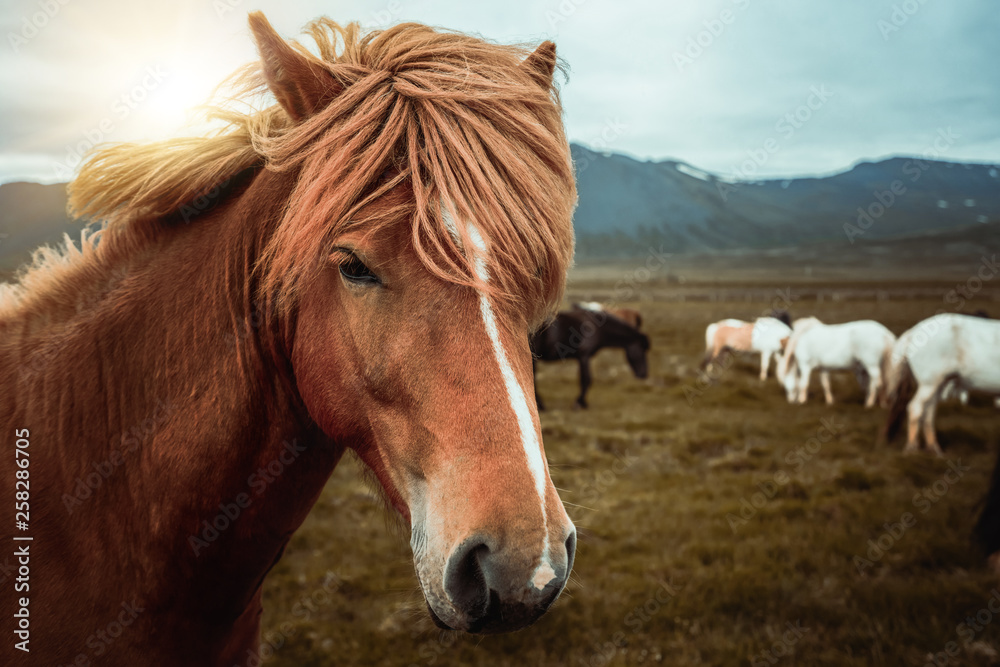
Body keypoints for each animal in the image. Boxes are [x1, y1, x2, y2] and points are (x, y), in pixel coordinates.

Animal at [772, 320, 900, 408]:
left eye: (784, 383)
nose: (790, 401)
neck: (800, 339)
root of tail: (884, 332)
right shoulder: (823, 368)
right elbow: (826, 384)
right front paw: (830, 401)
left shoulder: (805, 366)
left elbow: (804, 384)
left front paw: (802, 401)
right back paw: (879, 402)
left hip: (871, 365)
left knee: (877, 382)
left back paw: (870, 403)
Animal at [884, 314, 1000, 454]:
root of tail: (913, 332)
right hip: (929, 383)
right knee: (915, 408)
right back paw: (912, 448)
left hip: (938, 384)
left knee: (928, 412)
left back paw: (934, 448)